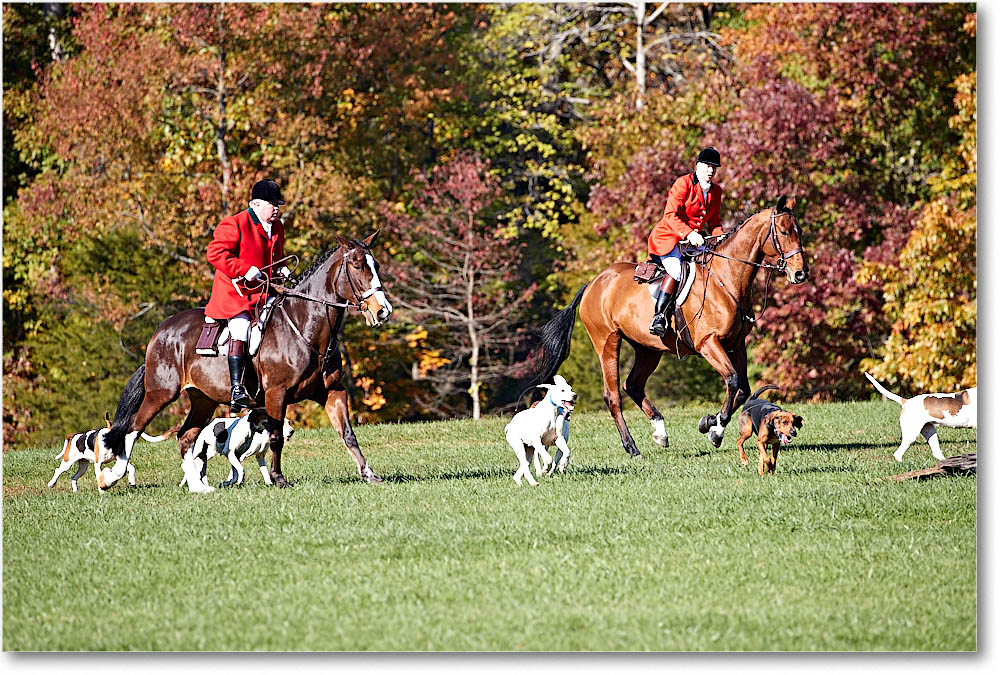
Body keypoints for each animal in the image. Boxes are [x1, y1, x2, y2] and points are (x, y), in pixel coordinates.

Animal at [100, 232, 390, 492]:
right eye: (358, 266)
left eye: (376, 265)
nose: (383, 311)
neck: (303, 326)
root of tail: (161, 330)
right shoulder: (276, 394)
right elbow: (276, 437)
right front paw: (278, 478)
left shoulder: (332, 392)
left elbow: (348, 434)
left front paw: (369, 474)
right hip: (161, 393)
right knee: (132, 430)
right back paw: (112, 477)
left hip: (203, 400)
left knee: (185, 437)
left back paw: (197, 486)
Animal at [532, 195, 804, 460]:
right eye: (783, 231)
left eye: (798, 231)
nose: (801, 273)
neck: (727, 278)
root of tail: (594, 282)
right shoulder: (708, 343)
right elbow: (733, 380)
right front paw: (715, 430)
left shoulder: (736, 344)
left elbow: (743, 389)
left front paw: (709, 423)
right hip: (607, 341)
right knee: (613, 395)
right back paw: (632, 448)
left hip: (647, 348)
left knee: (633, 385)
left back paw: (660, 432)